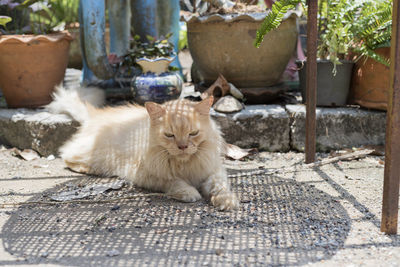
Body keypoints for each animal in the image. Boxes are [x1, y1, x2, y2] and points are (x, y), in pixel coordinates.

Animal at [48, 86, 239, 211]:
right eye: (169, 135)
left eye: (193, 133)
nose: (183, 146)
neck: (185, 165)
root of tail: (96, 114)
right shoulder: (150, 176)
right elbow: (175, 182)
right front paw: (189, 193)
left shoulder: (214, 170)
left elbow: (220, 186)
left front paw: (227, 201)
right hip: (93, 155)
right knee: (66, 154)